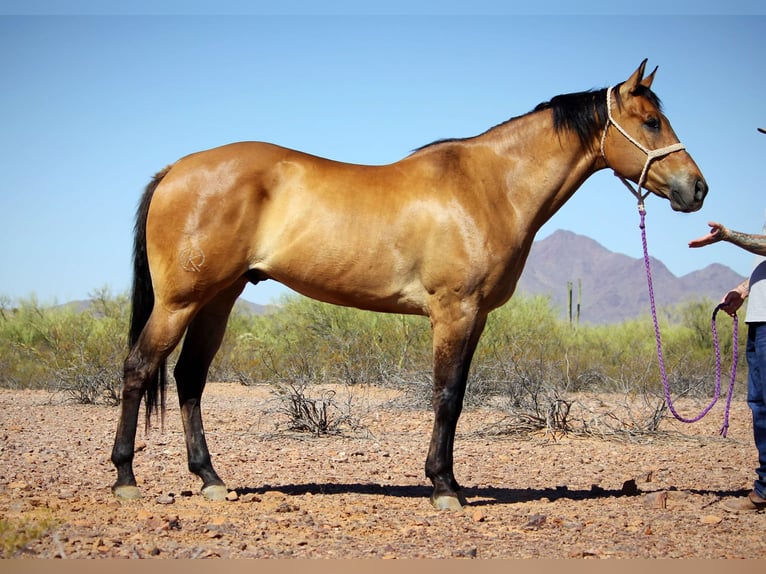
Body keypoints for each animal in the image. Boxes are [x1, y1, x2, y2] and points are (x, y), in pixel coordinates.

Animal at [111, 60, 708, 510]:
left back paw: (211, 479)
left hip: (219, 299)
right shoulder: (454, 311)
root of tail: (175, 170)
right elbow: (446, 396)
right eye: (651, 121)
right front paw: (444, 488)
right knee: (140, 368)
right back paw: (125, 479)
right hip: (181, 301)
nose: (696, 189)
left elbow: (458, 396)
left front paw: (452, 482)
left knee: (189, 378)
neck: (489, 186)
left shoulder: (476, 317)